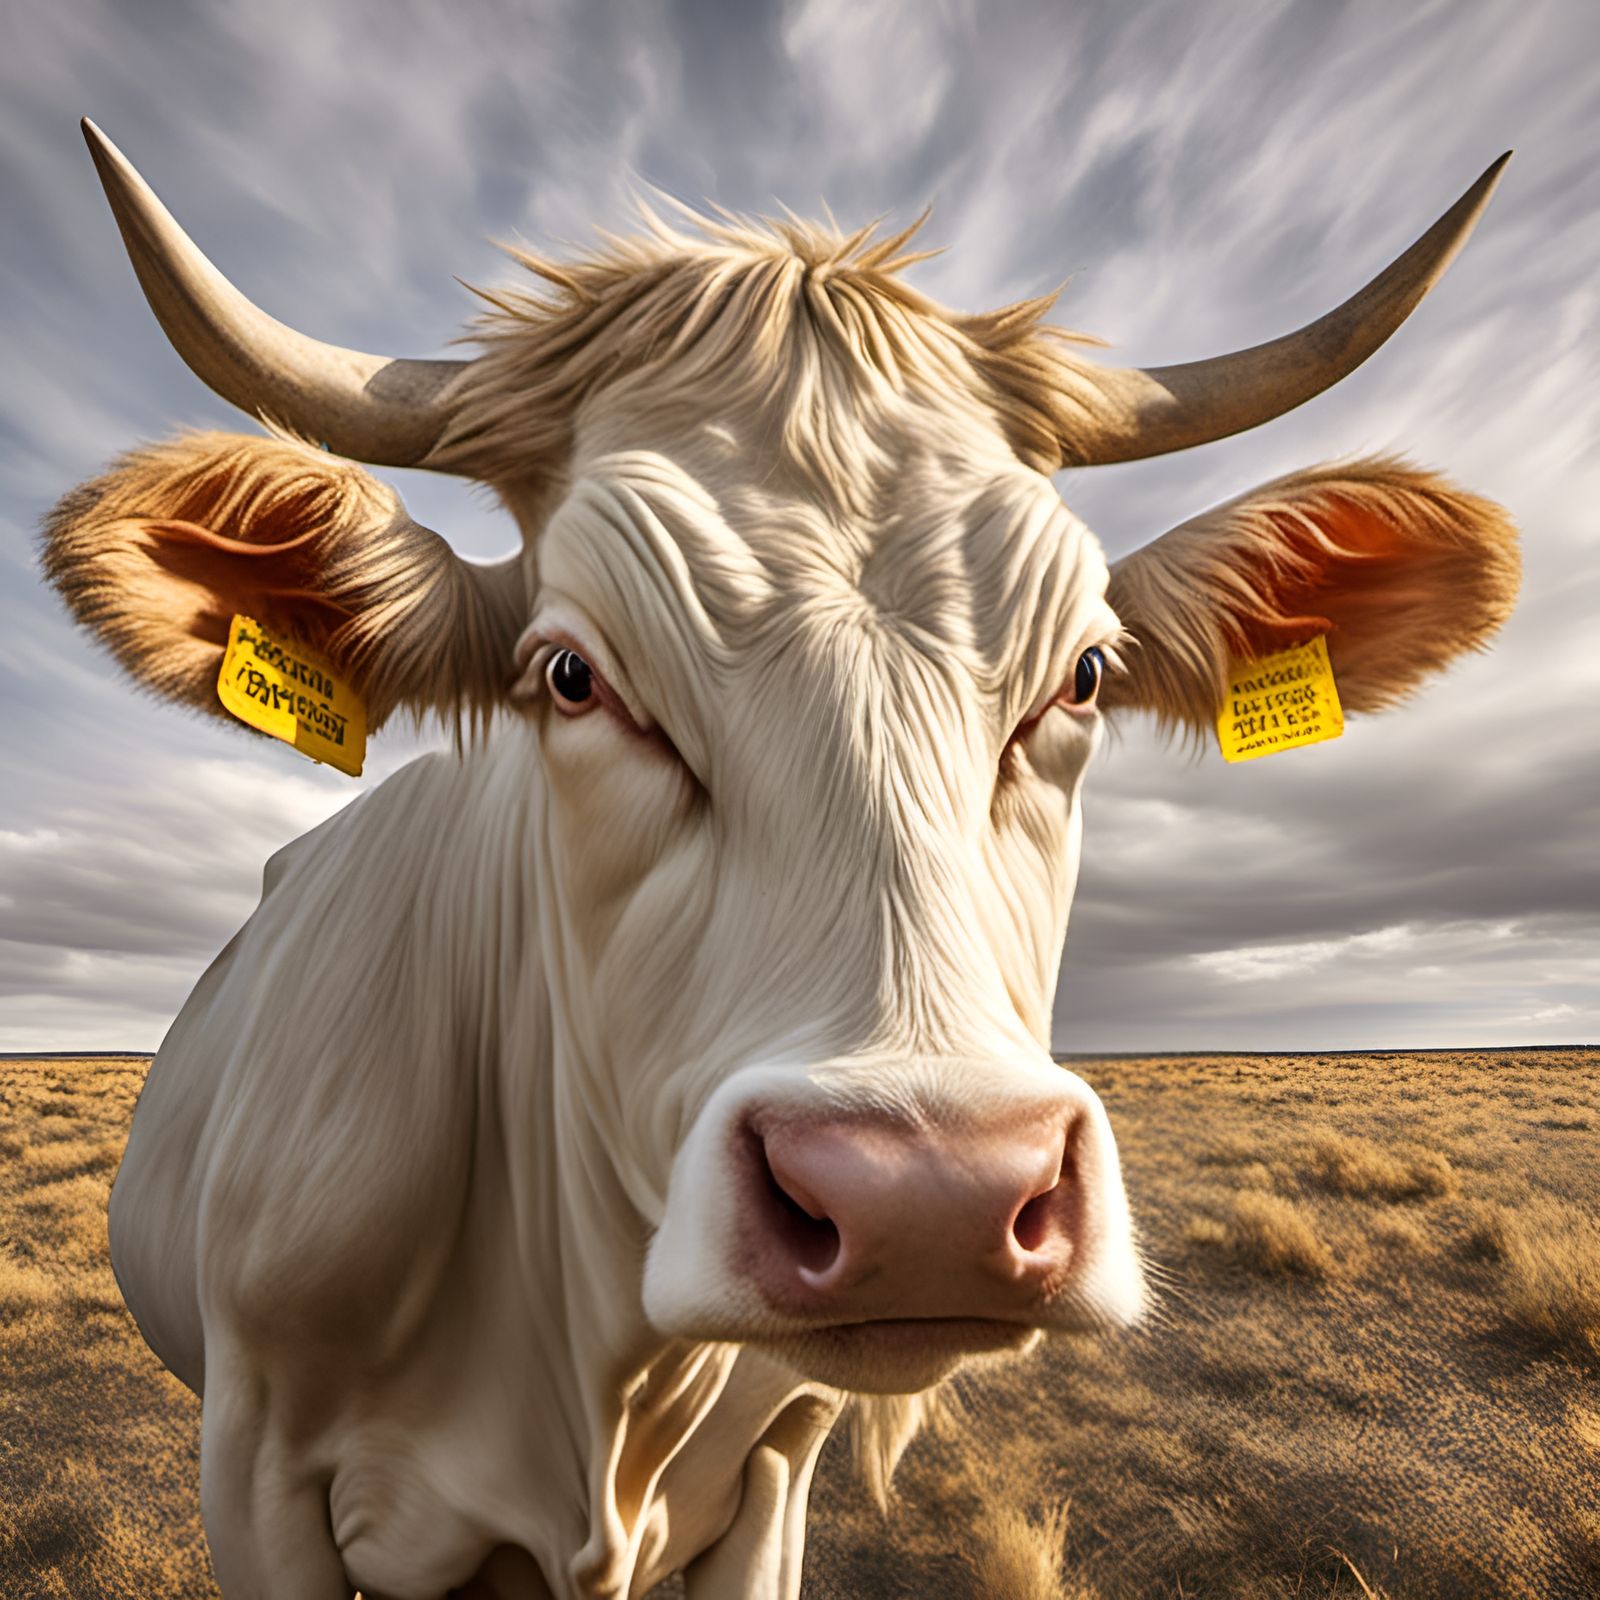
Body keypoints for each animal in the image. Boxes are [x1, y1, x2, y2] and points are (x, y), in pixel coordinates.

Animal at [43, 120, 1518, 1599]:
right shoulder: (256, 1471)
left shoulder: (777, 1468)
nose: (932, 1197)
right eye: (569, 675)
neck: (595, 1386)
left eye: (1086, 674)